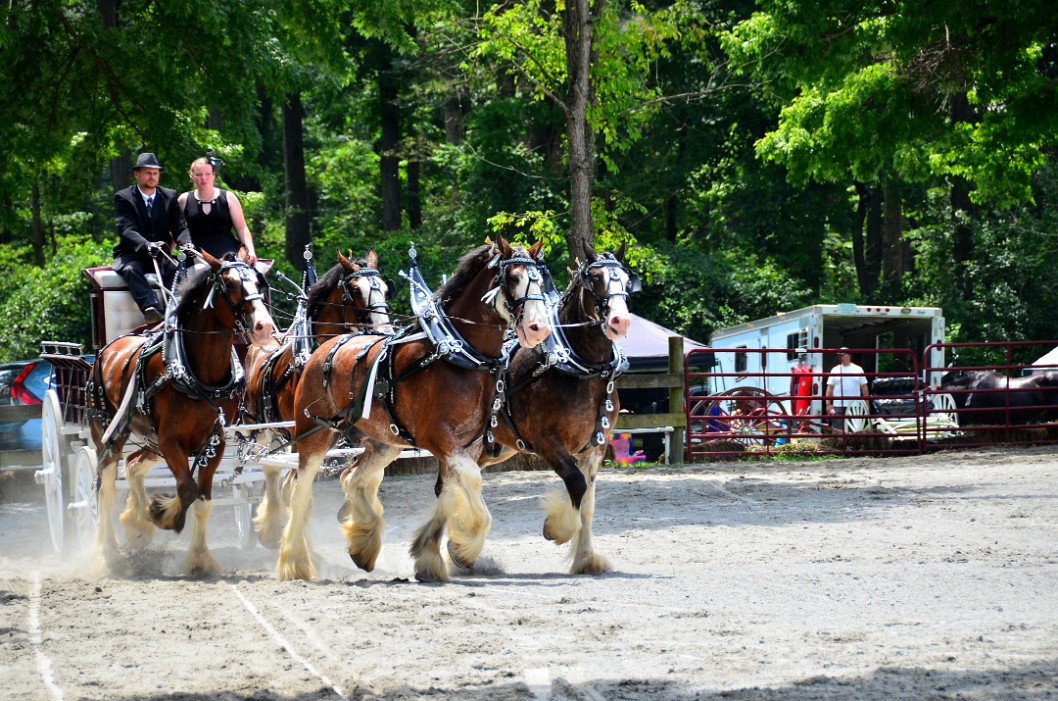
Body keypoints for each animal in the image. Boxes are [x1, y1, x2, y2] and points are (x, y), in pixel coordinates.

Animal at [87, 252, 275, 575]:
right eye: (229, 283)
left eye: (259, 282)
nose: (263, 326)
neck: (198, 373)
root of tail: (111, 346)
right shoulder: (171, 440)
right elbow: (186, 489)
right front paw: (162, 515)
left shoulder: (214, 441)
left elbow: (202, 500)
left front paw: (199, 558)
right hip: (109, 434)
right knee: (106, 486)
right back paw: (108, 551)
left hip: (151, 440)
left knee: (133, 464)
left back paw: (136, 525)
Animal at [242, 249, 395, 549]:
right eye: (355, 291)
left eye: (385, 288)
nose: (386, 332)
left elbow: (372, 472)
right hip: (263, 432)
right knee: (271, 471)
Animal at [272, 238, 554, 583]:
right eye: (512, 278)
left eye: (540, 279)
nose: (538, 328)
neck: (460, 356)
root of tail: (327, 345)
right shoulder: (438, 437)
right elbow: (471, 481)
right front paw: (465, 545)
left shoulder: (467, 444)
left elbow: (450, 491)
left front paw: (439, 553)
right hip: (313, 435)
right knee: (299, 492)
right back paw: (294, 561)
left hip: (385, 442)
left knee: (353, 478)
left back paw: (363, 544)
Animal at [473, 244, 634, 575]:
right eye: (596, 278)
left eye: (627, 280)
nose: (620, 321)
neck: (582, 369)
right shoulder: (547, 441)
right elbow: (575, 483)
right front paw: (557, 529)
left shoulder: (595, 448)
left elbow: (588, 503)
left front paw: (586, 558)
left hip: (495, 449)